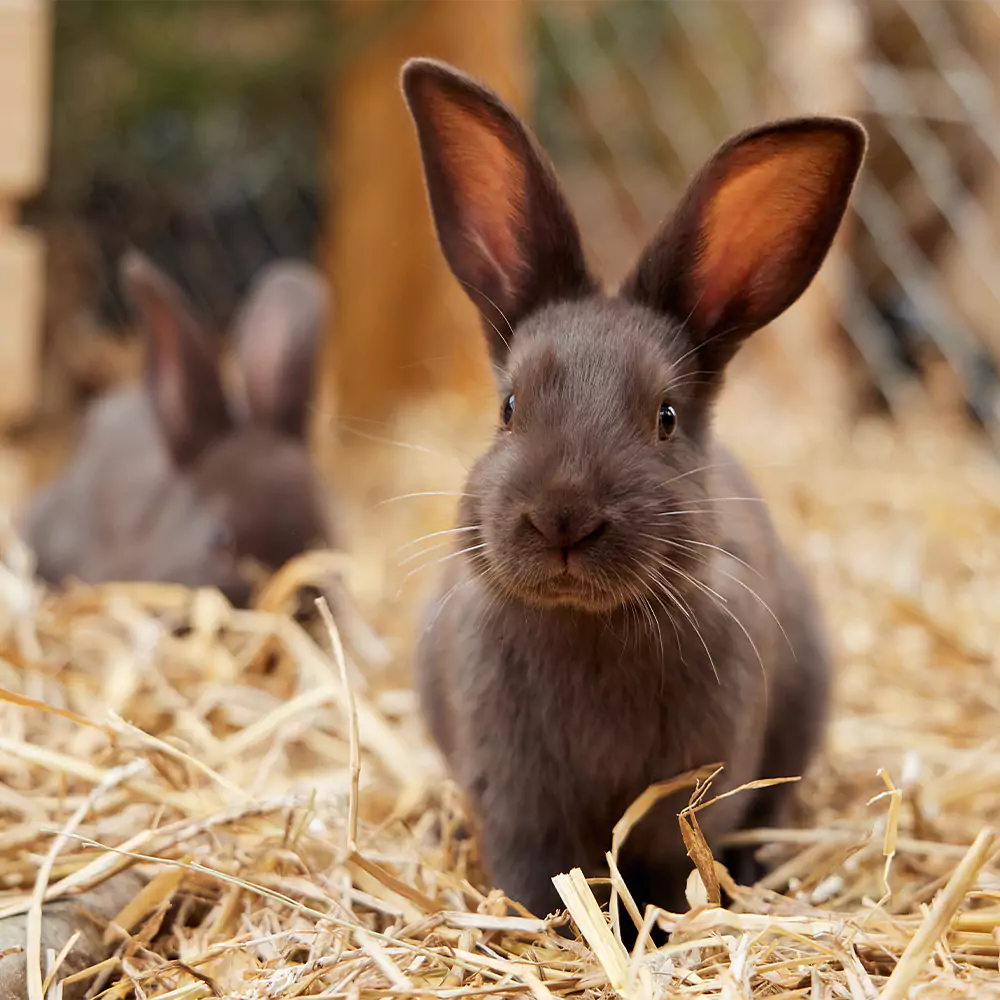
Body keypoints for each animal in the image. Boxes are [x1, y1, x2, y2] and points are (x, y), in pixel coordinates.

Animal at [402, 58, 864, 932]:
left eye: (666, 418)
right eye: (507, 407)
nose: (563, 519)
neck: (587, 627)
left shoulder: (690, 798)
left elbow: (669, 872)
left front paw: (654, 932)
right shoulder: (514, 797)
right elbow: (538, 872)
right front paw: (555, 929)